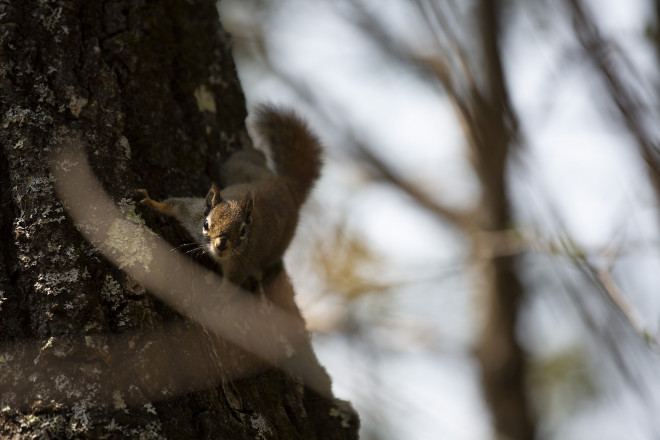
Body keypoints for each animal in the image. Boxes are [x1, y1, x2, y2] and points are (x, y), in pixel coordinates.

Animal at [138, 104, 324, 288]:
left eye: (243, 231)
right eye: (206, 224)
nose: (221, 244)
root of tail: (286, 185)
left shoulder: (241, 266)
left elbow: (228, 289)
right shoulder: (193, 212)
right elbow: (174, 204)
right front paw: (150, 201)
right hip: (239, 166)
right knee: (255, 155)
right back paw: (248, 143)